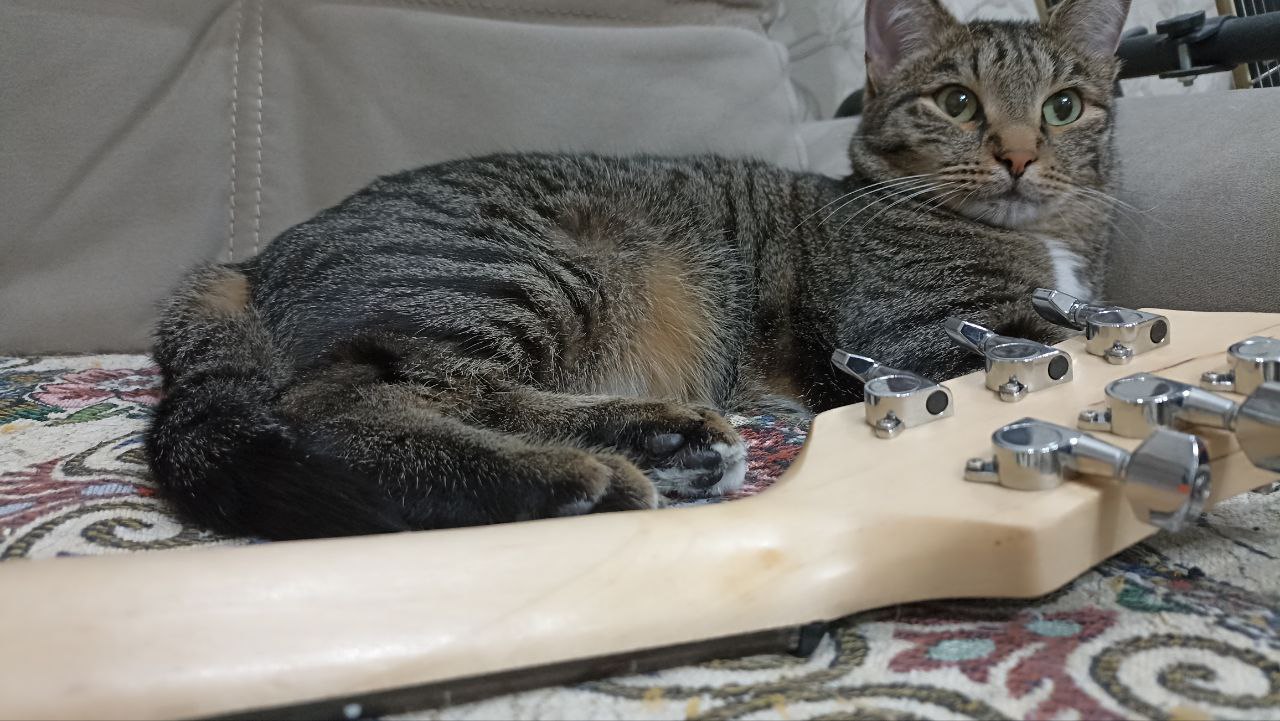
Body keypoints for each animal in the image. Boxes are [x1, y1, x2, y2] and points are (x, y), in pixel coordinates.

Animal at [147, 0, 1131, 540]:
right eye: (958, 103)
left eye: (1064, 106)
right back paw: (567, 479)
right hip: (532, 270)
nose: (1017, 155)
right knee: (346, 402)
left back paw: (664, 445)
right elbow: (1042, 342)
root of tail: (249, 259)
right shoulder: (919, 329)